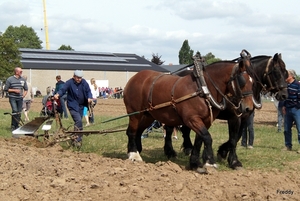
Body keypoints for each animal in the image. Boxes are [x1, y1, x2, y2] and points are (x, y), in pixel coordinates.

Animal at [123, 55, 254, 174]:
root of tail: (134, 77)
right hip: (135, 114)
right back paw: (134, 155)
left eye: (253, 81)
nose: (248, 108)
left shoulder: (206, 120)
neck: (202, 88)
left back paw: (134, 151)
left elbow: (199, 140)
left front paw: (195, 164)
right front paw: (210, 162)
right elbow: (207, 137)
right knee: (131, 132)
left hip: (148, 115)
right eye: (242, 81)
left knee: (138, 131)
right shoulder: (192, 119)